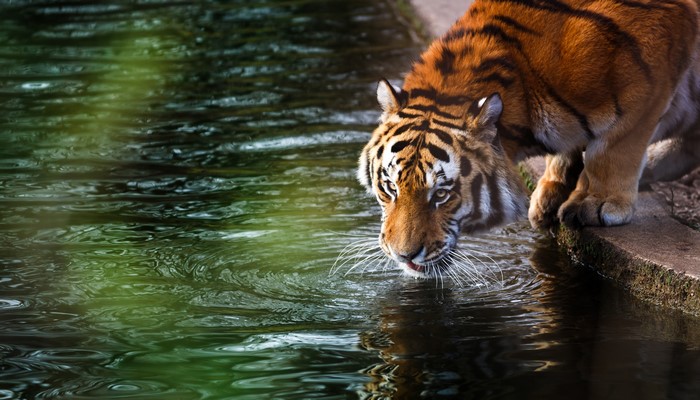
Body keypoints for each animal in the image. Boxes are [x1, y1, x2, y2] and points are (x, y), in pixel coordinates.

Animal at [357, 0, 700, 278]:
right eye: (390, 188)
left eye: (441, 194)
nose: (404, 256)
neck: (522, 80)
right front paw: (551, 193)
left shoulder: (651, 73)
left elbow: (613, 148)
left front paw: (596, 202)